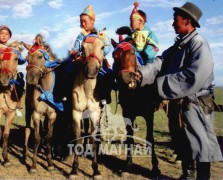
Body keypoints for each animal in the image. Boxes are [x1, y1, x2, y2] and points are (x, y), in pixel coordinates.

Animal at [21, 34, 60, 173]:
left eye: (40, 56)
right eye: (27, 59)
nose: (29, 80)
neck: (46, 91)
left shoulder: (52, 116)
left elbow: (49, 137)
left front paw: (50, 163)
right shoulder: (36, 114)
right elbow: (37, 137)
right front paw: (33, 165)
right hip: (28, 111)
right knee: (27, 130)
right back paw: (24, 155)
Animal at [112, 39, 161, 177]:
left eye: (133, 52)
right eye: (114, 56)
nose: (126, 78)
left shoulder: (149, 115)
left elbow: (150, 138)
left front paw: (155, 168)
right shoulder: (127, 114)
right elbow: (130, 137)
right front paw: (127, 165)